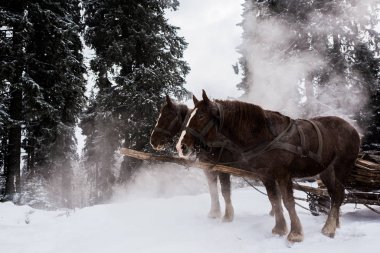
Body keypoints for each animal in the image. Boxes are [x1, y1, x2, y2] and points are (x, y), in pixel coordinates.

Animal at [177, 90, 360, 242]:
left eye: (201, 116)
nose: (181, 147)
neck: (265, 134)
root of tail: (353, 129)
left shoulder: (283, 175)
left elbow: (288, 201)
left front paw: (295, 233)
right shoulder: (266, 175)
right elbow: (274, 200)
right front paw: (279, 229)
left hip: (339, 169)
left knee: (338, 195)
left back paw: (329, 228)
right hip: (327, 171)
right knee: (335, 194)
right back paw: (334, 224)